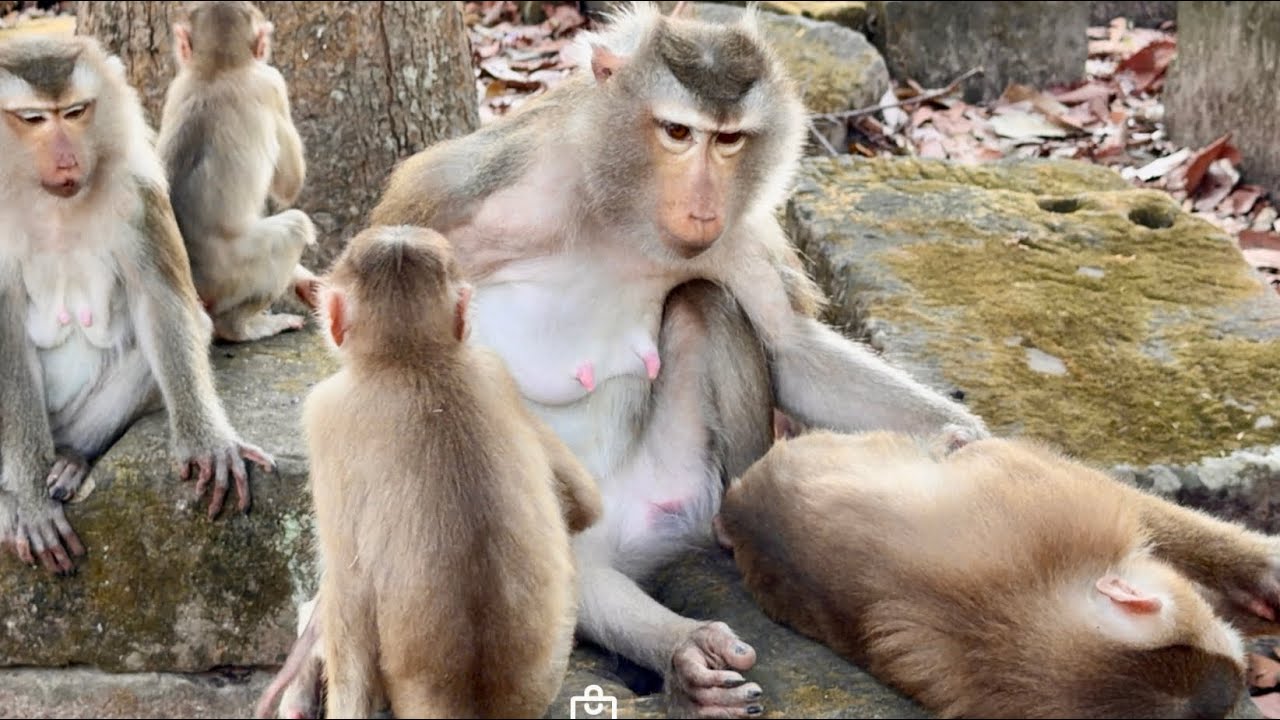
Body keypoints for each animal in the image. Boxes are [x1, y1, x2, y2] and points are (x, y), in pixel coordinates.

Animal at [0, 34, 275, 574]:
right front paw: (31, 501)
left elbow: (162, 304)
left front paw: (209, 443)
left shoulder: (138, 191)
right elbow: (5, 338)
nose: (67, 160)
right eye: (34, 119)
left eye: (76, 112)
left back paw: (73, 459)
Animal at [156, 0, 319, 344]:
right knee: (297, 225)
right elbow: (289, 184)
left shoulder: (178, 84)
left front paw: (306, 283)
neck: (217, 69)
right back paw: (238, 328)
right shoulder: (272, 83)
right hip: (234, 275)